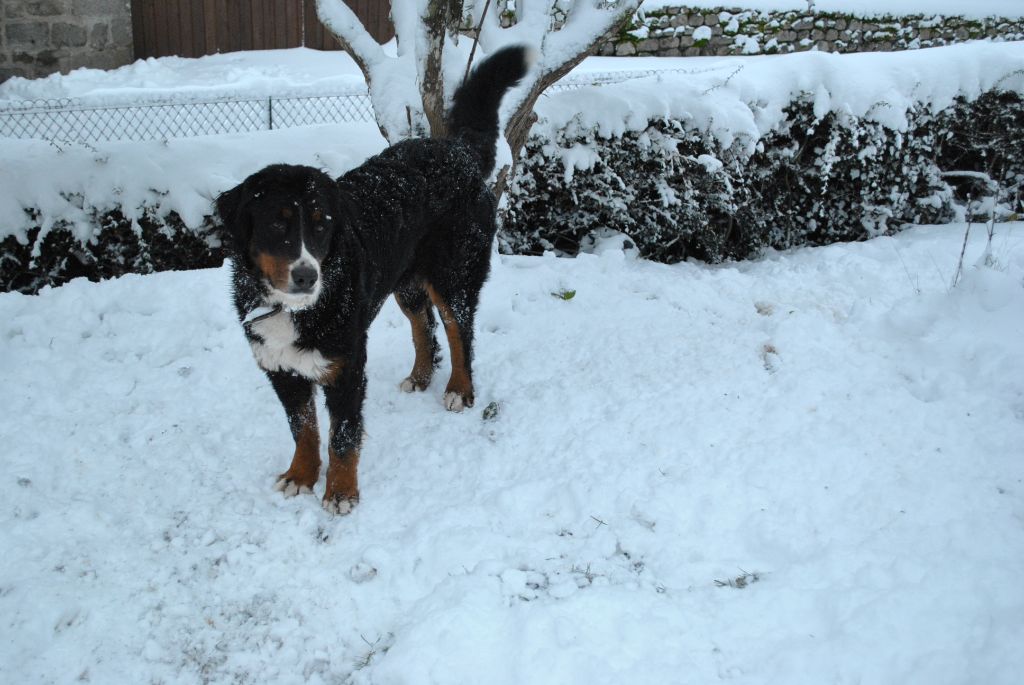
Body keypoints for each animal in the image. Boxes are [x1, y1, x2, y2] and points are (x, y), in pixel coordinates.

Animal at [220, 45, 532, 511]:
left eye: (322, 225)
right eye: (277, 224)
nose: (306, 276)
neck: (294, 311)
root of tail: (455, 149)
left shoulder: (346, 366)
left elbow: (342, 436)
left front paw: (340, 493)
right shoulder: (281, 368)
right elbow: (303, 429)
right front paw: (301, 475)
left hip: (454, 276)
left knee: (460, 335)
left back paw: (459, 390)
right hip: (406, 283)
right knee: (426, 331)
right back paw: (420, 377)